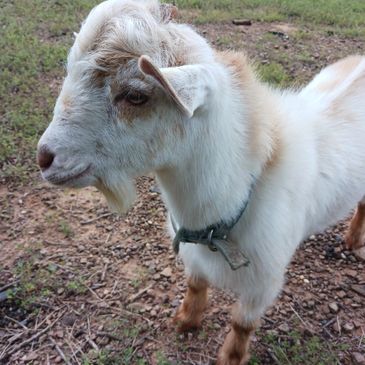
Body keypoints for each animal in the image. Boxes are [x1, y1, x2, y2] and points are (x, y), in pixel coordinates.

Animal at [37, 1, 364, 362]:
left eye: (135, 95)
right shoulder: (192, 255)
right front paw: (184, 321)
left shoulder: (264, 283)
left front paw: (229, 356)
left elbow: (241, 324)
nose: (44, 157)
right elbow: (195, 286)